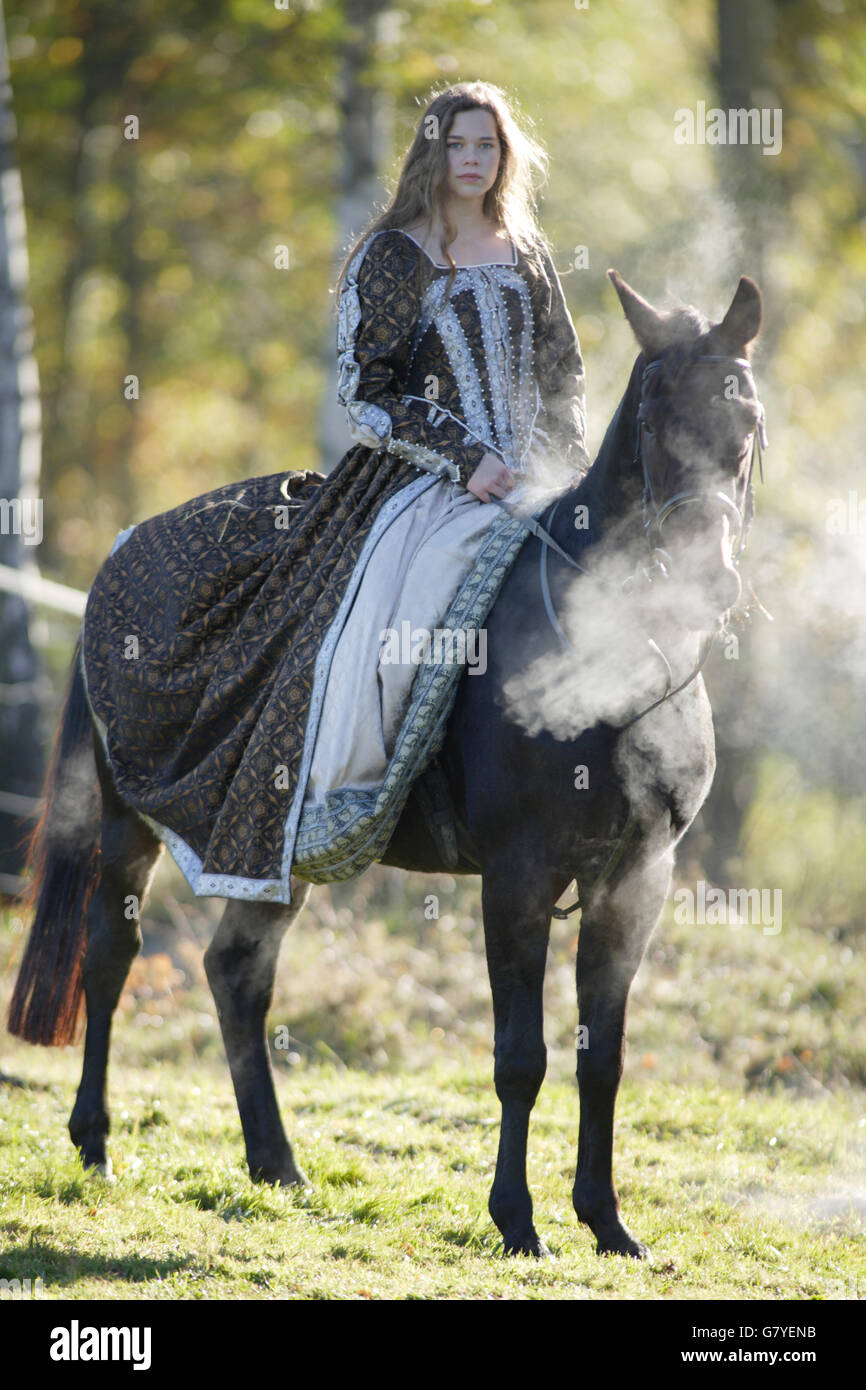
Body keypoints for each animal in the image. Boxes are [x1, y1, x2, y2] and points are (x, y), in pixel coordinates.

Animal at [6, 271, 767, 1262]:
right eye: (652, 415)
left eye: (746, 419)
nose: (710, 582)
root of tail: (122, 547)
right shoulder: (517, 875)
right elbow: (521, 1055)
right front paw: (517, 1222)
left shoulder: (636, 879)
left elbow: (603, 1056)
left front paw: (607, 1222)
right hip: (125, 819)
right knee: (110, 956)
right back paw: (96, 1145)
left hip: (269, 848)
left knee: (236, 972)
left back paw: (276, 1164)